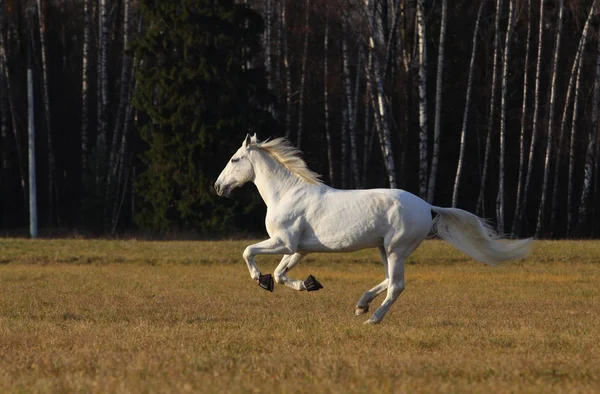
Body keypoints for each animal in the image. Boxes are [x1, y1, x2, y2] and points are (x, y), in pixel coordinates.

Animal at [216, 134, 536, 324]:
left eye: (234, 159)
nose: (219, 187)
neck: (287, 193)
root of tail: (427, 205)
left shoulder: (283, 241)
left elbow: (248, 251)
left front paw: (260, 279)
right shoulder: (299, 249)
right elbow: (282, 275)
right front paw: (308, 284)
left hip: (396, 249)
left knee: (397, 285)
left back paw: (373, 318)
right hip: (385, 248)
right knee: (389, 280)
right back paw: (362, 305)